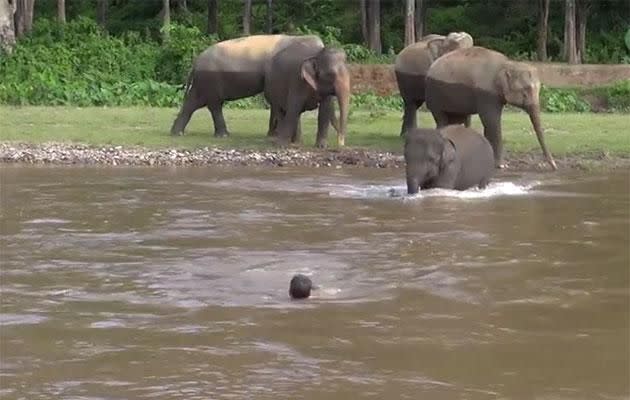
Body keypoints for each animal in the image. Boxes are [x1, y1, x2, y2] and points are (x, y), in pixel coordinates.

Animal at [170, 34, 324, 138]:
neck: (296, 38)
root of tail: (195, 63)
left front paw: (272, 135)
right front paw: (273, 135)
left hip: (203, 82)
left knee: (193, 102)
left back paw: (177, 133)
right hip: (210, 80)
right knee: (214, 104)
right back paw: (223, 135)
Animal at [424, 45, 556, 170]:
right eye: (524, 92)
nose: (554, 167)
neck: (507, 64)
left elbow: (489, 125)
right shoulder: (486, 93)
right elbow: (492, 122)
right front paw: (501, 165)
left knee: (457, 120)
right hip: (434, 95)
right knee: (442, 119)